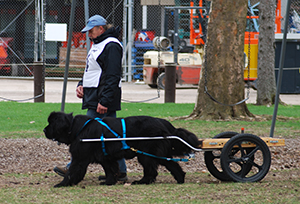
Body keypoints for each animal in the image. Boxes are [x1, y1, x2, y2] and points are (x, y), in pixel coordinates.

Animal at [42, 111, 202, 188]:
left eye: (51, 123)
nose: (44, 130)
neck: (76, 128)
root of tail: (166, 123)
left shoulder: (80, 158)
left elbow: (72, 171)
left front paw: (61, 184)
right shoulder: (105, 157)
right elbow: (110, 170)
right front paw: (109, 182)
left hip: (147, 153)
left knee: (152, 170)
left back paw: (142, 181)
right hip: (155, 153)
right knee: (172, 164)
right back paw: (180, 179)